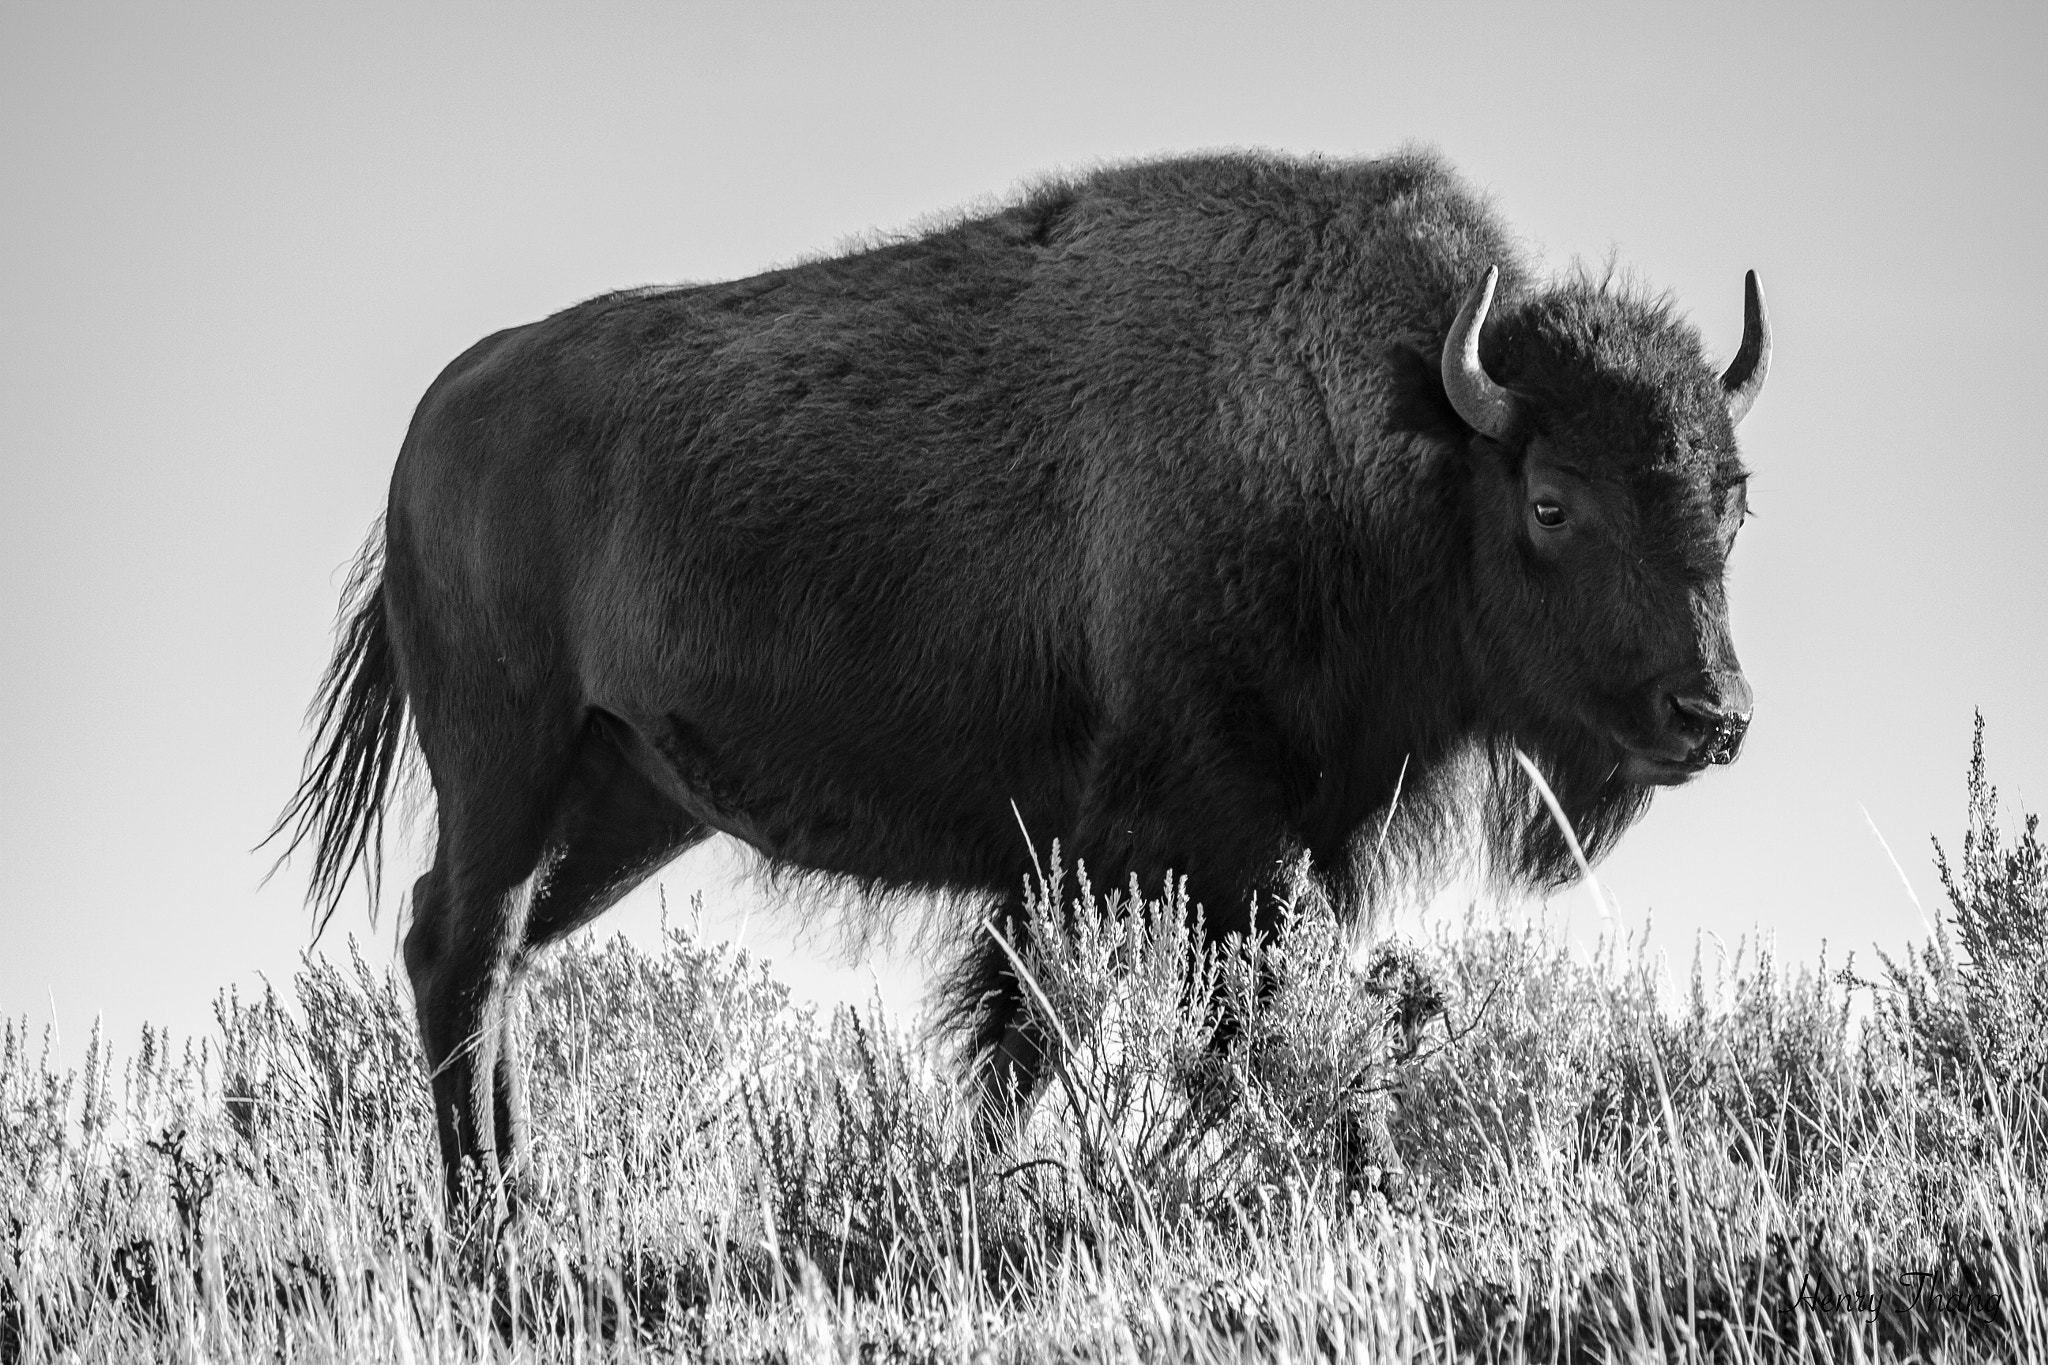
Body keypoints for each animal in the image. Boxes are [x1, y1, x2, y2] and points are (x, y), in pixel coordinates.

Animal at [275, 149, 1768, 1202]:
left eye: (1733, 498)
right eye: (1554, 500)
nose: (1711, 715)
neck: (1395, 441)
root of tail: (440, 416)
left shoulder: (1156, 854)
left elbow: (1035, 1039)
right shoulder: (1227, 840)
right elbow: (1258, 1016)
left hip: (626, 795)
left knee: (499, 954)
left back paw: (522, 1201)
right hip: (506, 761)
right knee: (461, 949)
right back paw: (492, 1224)